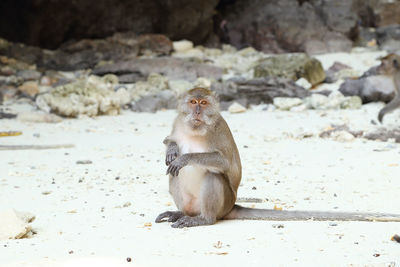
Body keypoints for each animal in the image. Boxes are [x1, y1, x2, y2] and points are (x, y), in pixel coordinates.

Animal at [155, 87, 400, 228]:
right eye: (193, 102)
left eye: (204, 104)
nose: (197, 112)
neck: (196, 128)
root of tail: (231, 207)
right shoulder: (178, 121)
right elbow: (168, 139)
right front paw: (172, 149)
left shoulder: (217, 130)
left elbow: (223, 162)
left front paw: (184, 158)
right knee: (173, 176)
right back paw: (180, 213)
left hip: (223, 204)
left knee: (212, 176)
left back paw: (203, 219)